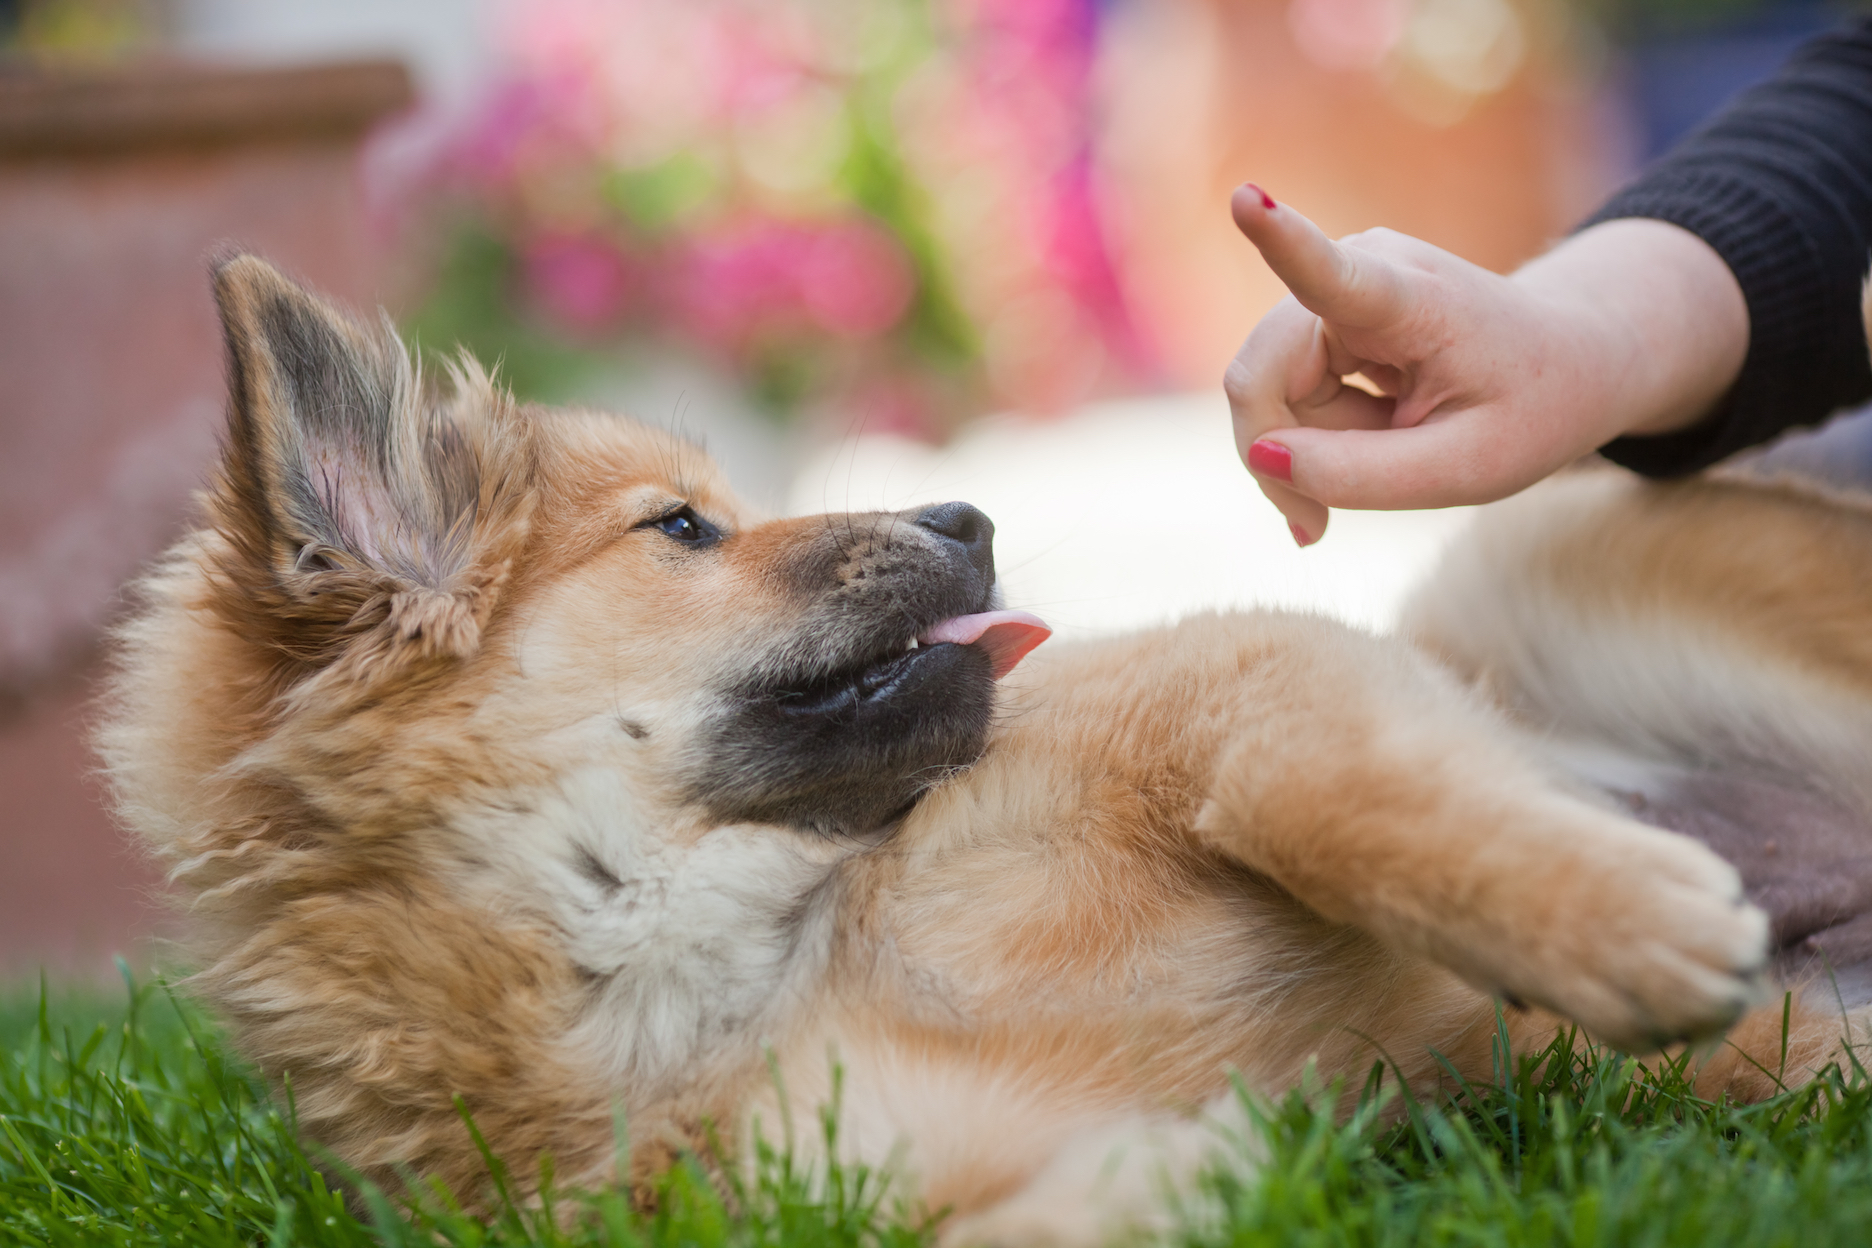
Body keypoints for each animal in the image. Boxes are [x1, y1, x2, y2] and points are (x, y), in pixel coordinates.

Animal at [98, 254, 1872, 1242]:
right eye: (683, 530)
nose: (973, 517)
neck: (770, 950)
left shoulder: (1242, 672)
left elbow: (1314, 790)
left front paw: (1626, 931)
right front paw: (1209, 1170)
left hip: (1523, 571)